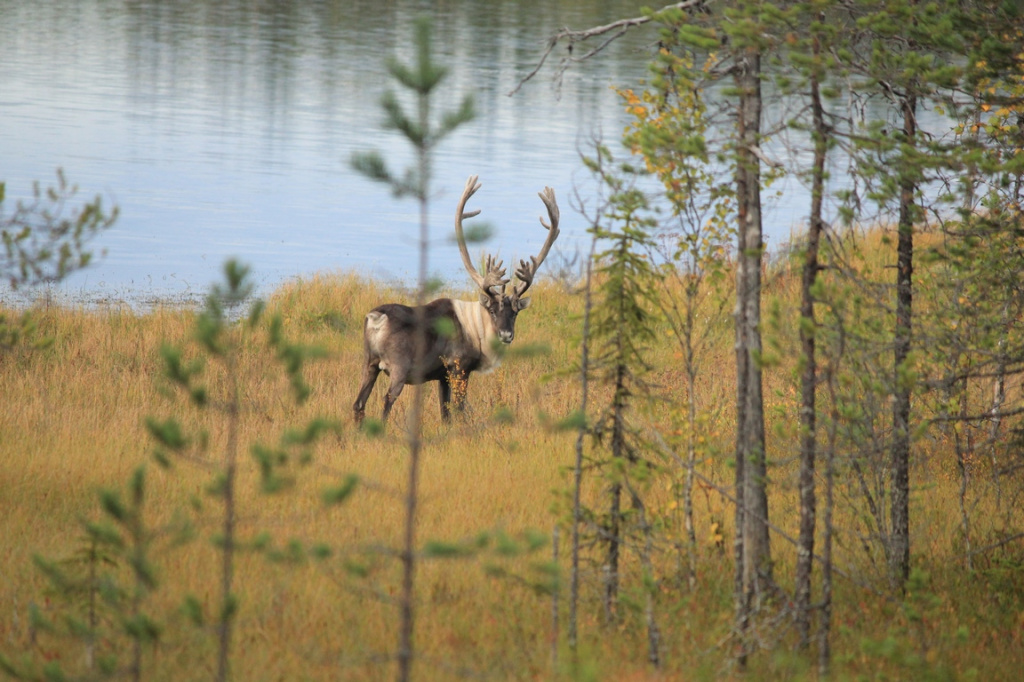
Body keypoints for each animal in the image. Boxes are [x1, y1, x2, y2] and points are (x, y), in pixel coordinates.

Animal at [353, 175, 560, 426]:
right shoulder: (459, 367)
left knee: (358, 403)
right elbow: (459, 408)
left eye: (515, 312)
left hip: (369, 362)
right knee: (387, 400)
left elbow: (445, 412)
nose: (506, 335)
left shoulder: (442, 375)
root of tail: (376, 318)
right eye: (492, 310)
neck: (476, 330)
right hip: (398, 367)